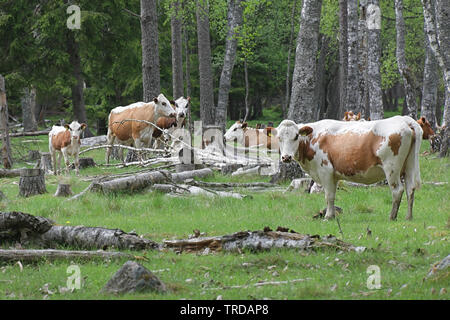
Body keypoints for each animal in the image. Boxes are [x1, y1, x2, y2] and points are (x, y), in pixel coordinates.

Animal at [278, 116, 422, 221]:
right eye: (279, 138)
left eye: (296, 136)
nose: (286, 157)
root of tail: (403, 119)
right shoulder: (334, 175)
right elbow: (332, 195)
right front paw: (332, 215)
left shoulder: (325, 171)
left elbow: (328, 195)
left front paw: (328, 217)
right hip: (408, 166)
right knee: (410, 189)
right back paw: (409, 217)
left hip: (391, 168)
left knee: (397, 190)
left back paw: (392, 217)